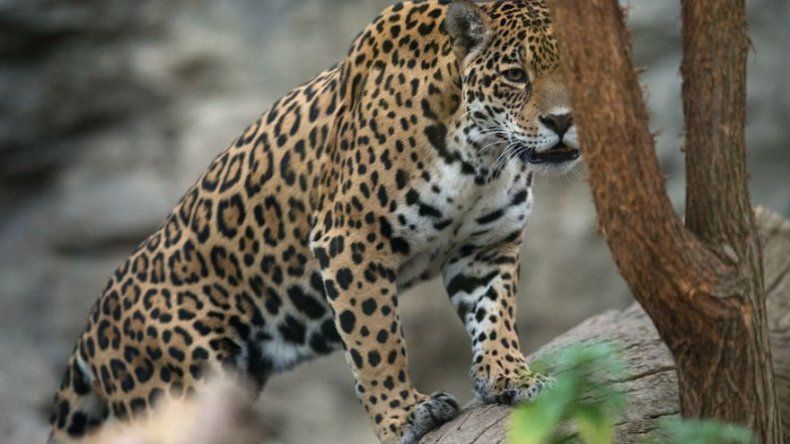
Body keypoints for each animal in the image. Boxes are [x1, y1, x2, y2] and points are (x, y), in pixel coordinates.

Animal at [49, 1, 581, 442]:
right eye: (515, 74)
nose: (562, 121)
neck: (481, 156)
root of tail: (90, 329)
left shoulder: (488, 242)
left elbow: (495, 314)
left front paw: (510, 376)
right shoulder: (350, 238)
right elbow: (377, 340)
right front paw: (404, 415)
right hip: (182, 384)